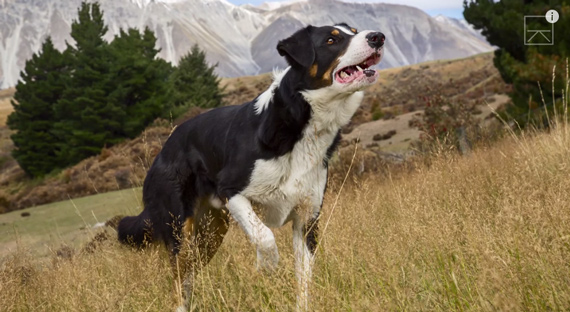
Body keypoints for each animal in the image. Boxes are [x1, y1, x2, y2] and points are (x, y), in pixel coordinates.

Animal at [117, 23, 384, 310]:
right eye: (331, 40)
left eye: (353, 30)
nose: (378, 37)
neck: (301, 125)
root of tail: (162, 151)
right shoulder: (231, 190)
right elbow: (264, 236)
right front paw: (266, 266)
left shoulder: (307, 217)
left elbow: (304, 281)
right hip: (180, 229)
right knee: (179, 279)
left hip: (210, 233)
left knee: (190, 274)